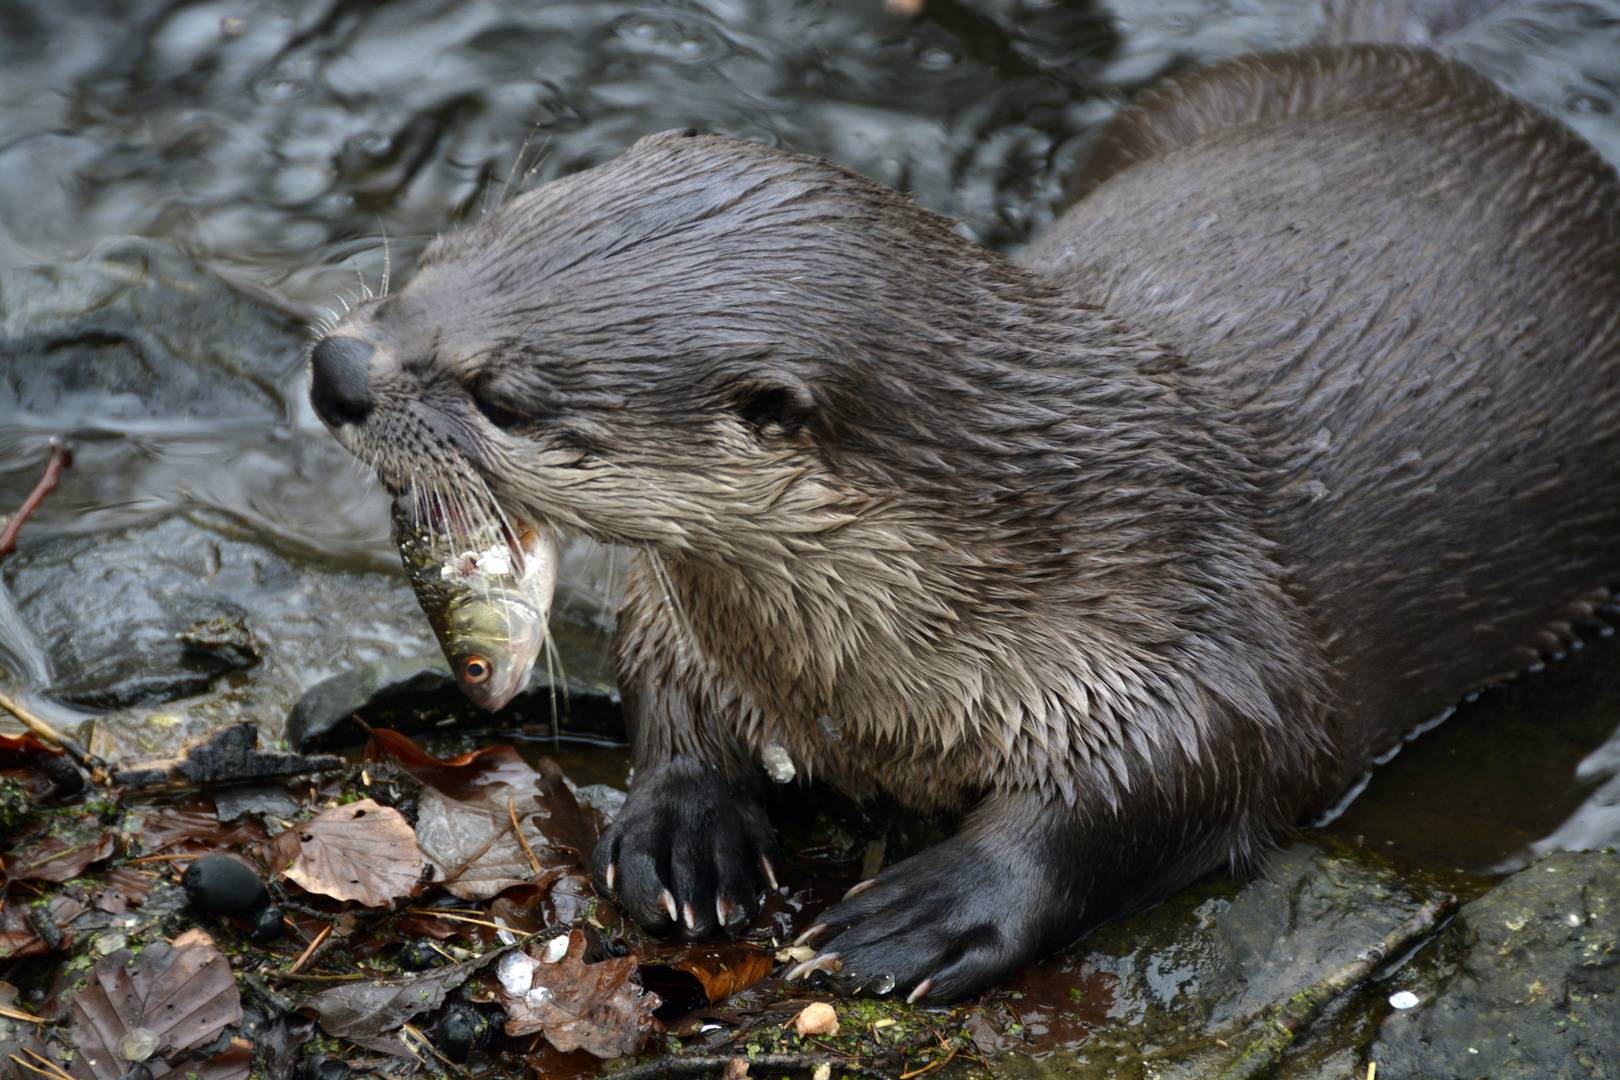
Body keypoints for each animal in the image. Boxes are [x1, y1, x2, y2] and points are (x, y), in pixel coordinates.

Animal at [304, 46, 1620, 1003]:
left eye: (507, 398)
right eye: (448, 251)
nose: (337, 368)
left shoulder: (1208, 635)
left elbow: (1183, 775)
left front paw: (942, 907)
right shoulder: (683, 607)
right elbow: (661, 684)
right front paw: (683, 826)